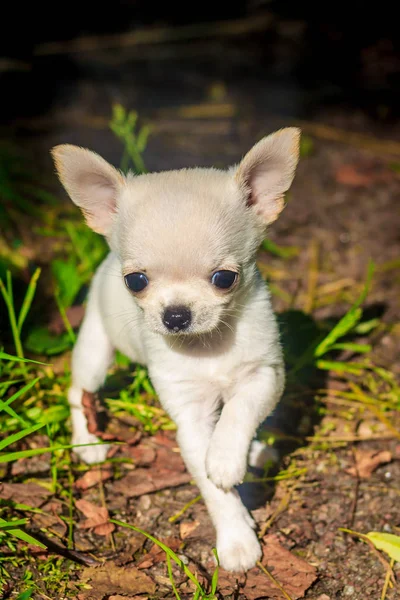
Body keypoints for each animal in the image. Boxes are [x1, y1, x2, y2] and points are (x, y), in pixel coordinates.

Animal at [50, 129, 300, 576]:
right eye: (136, 281)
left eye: (224, 279)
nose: (176, 315)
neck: (209, 345)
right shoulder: (190, 416)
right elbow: (213, 488)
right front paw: (237, 540)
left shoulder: (264, 375)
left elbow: (238, 413)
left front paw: (227, 457)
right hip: (95, 349)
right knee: (79, 391)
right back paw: (86, 441)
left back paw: (254, 450)